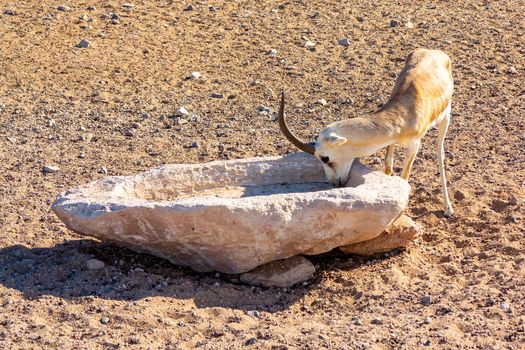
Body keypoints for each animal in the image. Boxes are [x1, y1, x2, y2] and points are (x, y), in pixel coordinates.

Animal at [278, 47, 454, 217]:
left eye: (325, 158)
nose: (334, 183)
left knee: (440, 154)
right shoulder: (391, 139)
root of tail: (436, 52)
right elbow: (388, 164)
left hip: (445, 120)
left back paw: (448, 209)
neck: (405, 111)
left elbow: (404, 176)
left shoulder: (414, 145)